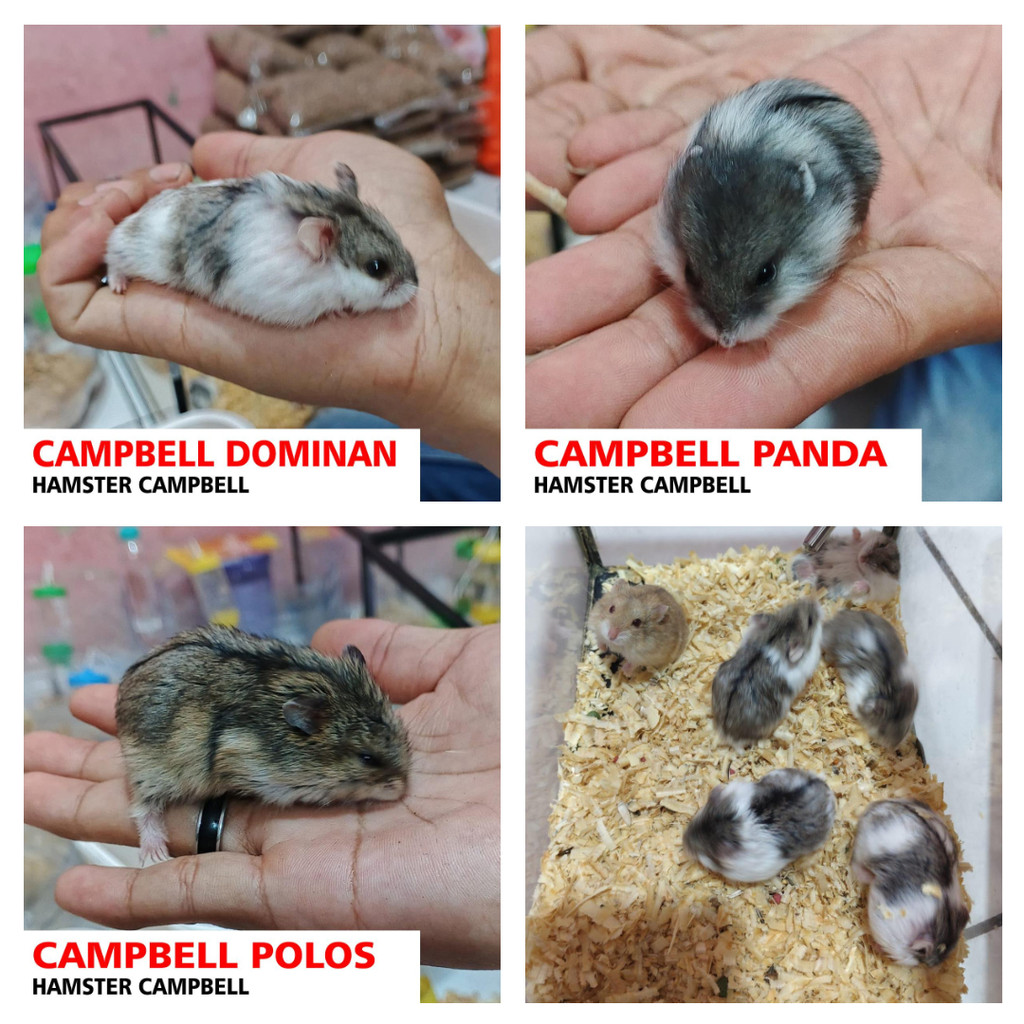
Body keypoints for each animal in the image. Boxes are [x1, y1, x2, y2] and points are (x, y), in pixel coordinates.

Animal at [105, 162, 417, 326]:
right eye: (376, 267)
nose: (416, 288)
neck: (327, 273)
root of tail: (136, 214)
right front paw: (338, 312)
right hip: (129, 246)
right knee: (112, 256)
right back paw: (118, 287)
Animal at [115, 625, 410, 863]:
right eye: (367, 758)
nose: (403, 789)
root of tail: (124, 688)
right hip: (149, 770)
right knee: (143, 809)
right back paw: (155, 856)